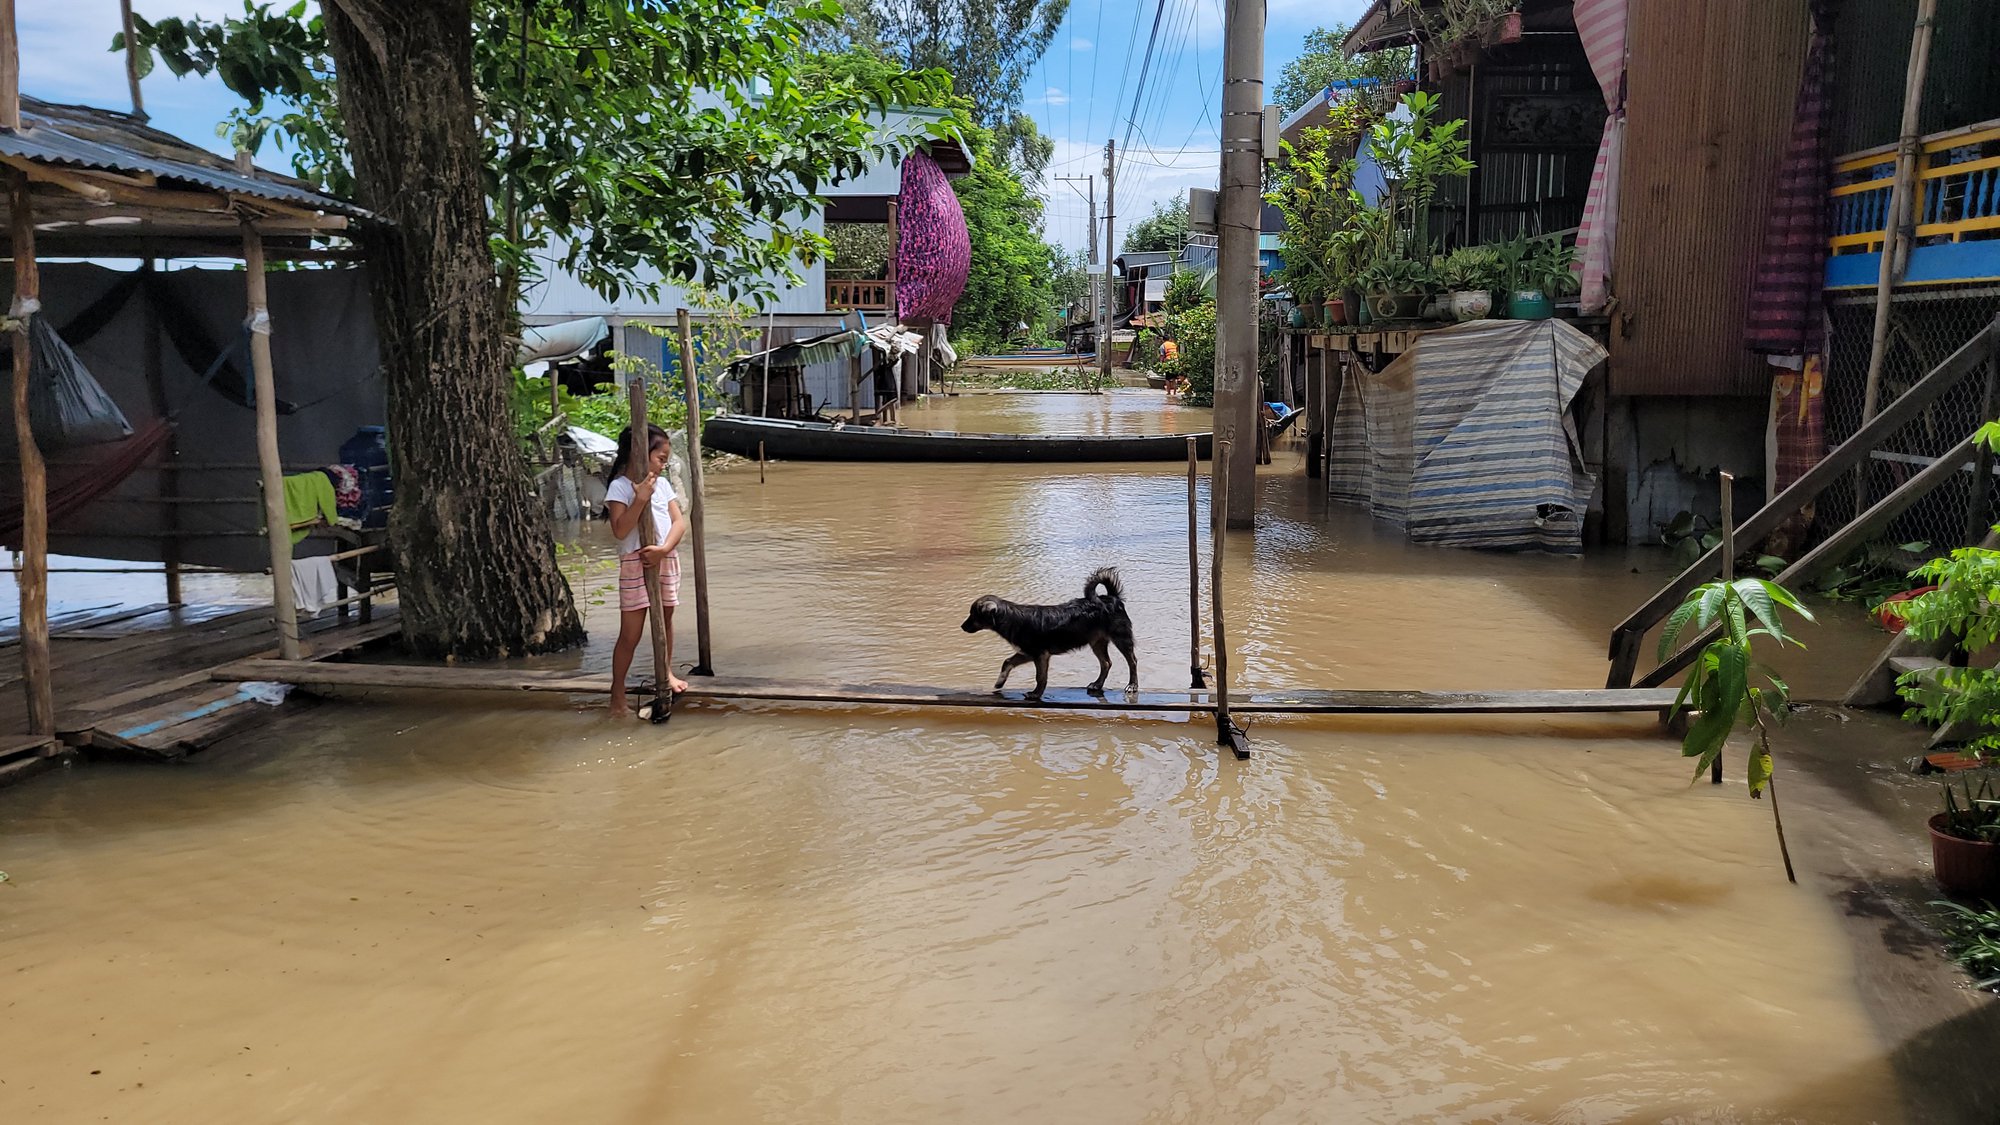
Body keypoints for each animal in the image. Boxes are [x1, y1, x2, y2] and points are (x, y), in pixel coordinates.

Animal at [964, 564, 1144, 696]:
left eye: (973, 615)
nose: (962, 626)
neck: (1012, 618)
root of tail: (1112, 598)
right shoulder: (1027, 652)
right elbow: (1007, 662)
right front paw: (1000, 682)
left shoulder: (1040, 654)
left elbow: (1040, 677)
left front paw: (1036, 694)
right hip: (1097, 641)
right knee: (1106, 663)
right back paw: (1097, 684)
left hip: (1121, 637)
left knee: (1132, 661)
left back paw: (1132, 685)